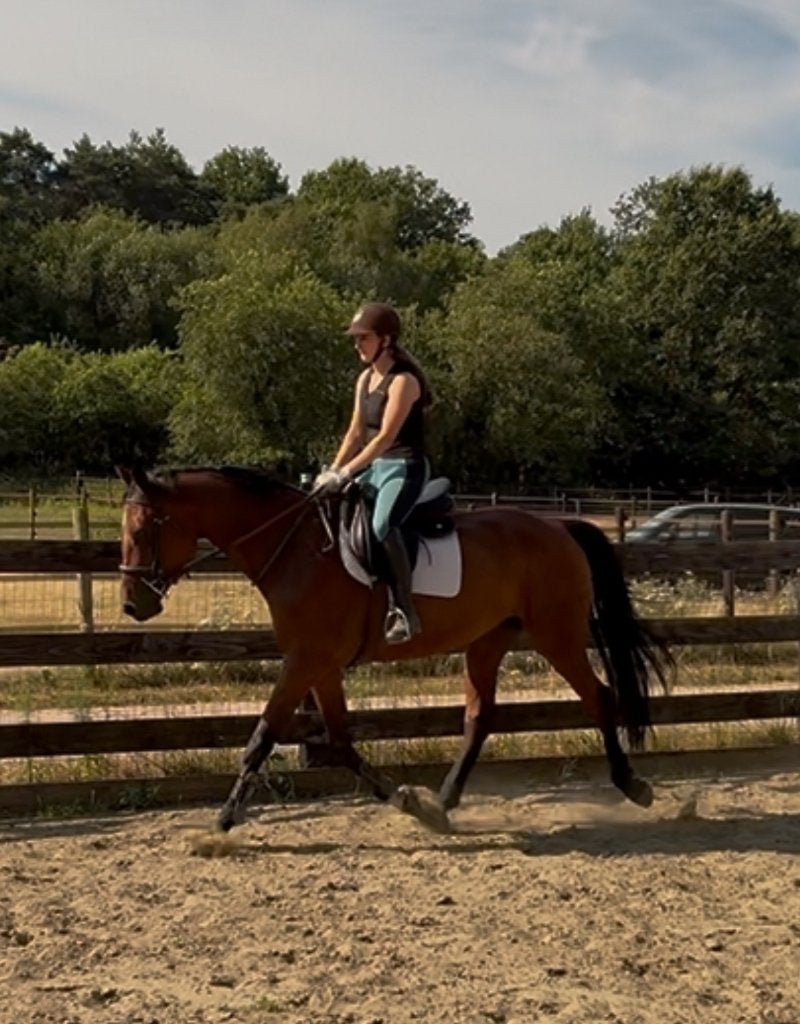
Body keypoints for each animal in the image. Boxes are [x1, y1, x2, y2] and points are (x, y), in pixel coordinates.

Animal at [117, 465, 672, 834]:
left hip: (557, 636)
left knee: (599, 697)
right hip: (487, 642)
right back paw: (443, 803)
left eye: (142, 530)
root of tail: (558, 527)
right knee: (480, 717)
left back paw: (633, 786)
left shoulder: (303, 662)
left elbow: (263, 736)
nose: (131, 604)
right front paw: (407, 801)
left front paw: (224, 822)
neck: (293, 549)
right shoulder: (320, 666)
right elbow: (341, 742)